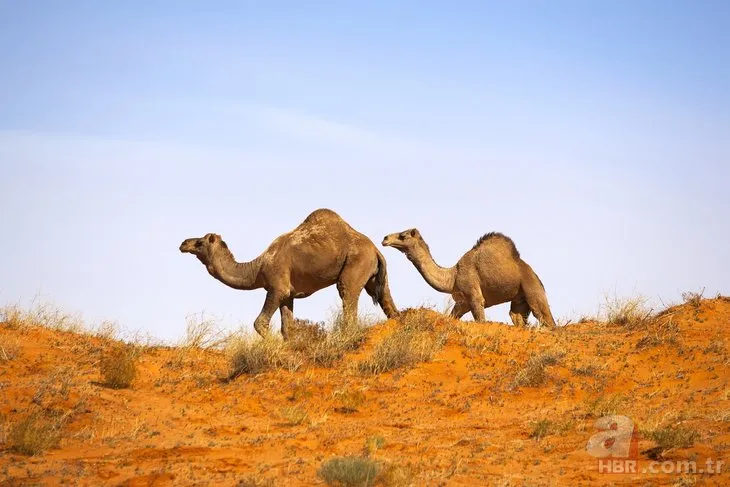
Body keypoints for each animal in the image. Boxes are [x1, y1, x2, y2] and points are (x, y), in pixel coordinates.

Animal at [181, 209, 398, 340]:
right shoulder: (288, 294)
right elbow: (288, 328)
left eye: (199, 242)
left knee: (348, 296)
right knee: (387, 301)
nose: (183, 243)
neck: (258, 268)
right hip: (373, 274)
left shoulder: (277, 287)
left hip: (356, 262)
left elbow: (260, 323)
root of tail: (375, 250)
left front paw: (273, 345)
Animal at [378, 229, 556, 328]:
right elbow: (452, 316)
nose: (385, 238)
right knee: (517, 316)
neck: (452, 276)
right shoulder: (461, 302)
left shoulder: (474, 296)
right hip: (519, 299)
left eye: (402, 235)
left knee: (547, 318)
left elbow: (480, 319)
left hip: (532, 288)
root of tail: (536, 276)